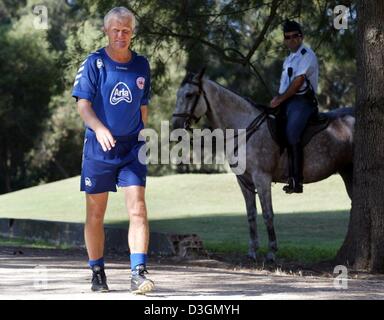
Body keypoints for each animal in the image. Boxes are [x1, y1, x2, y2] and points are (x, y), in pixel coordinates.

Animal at [171, 69, 354, 262]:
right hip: (347, 172)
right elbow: (251, 214)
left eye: (189, 95)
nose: (175, 126)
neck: (244, 128)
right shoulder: (244, 181)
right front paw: (252, 250)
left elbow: (267, 214)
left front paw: (272, 252)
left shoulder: (262, 178)